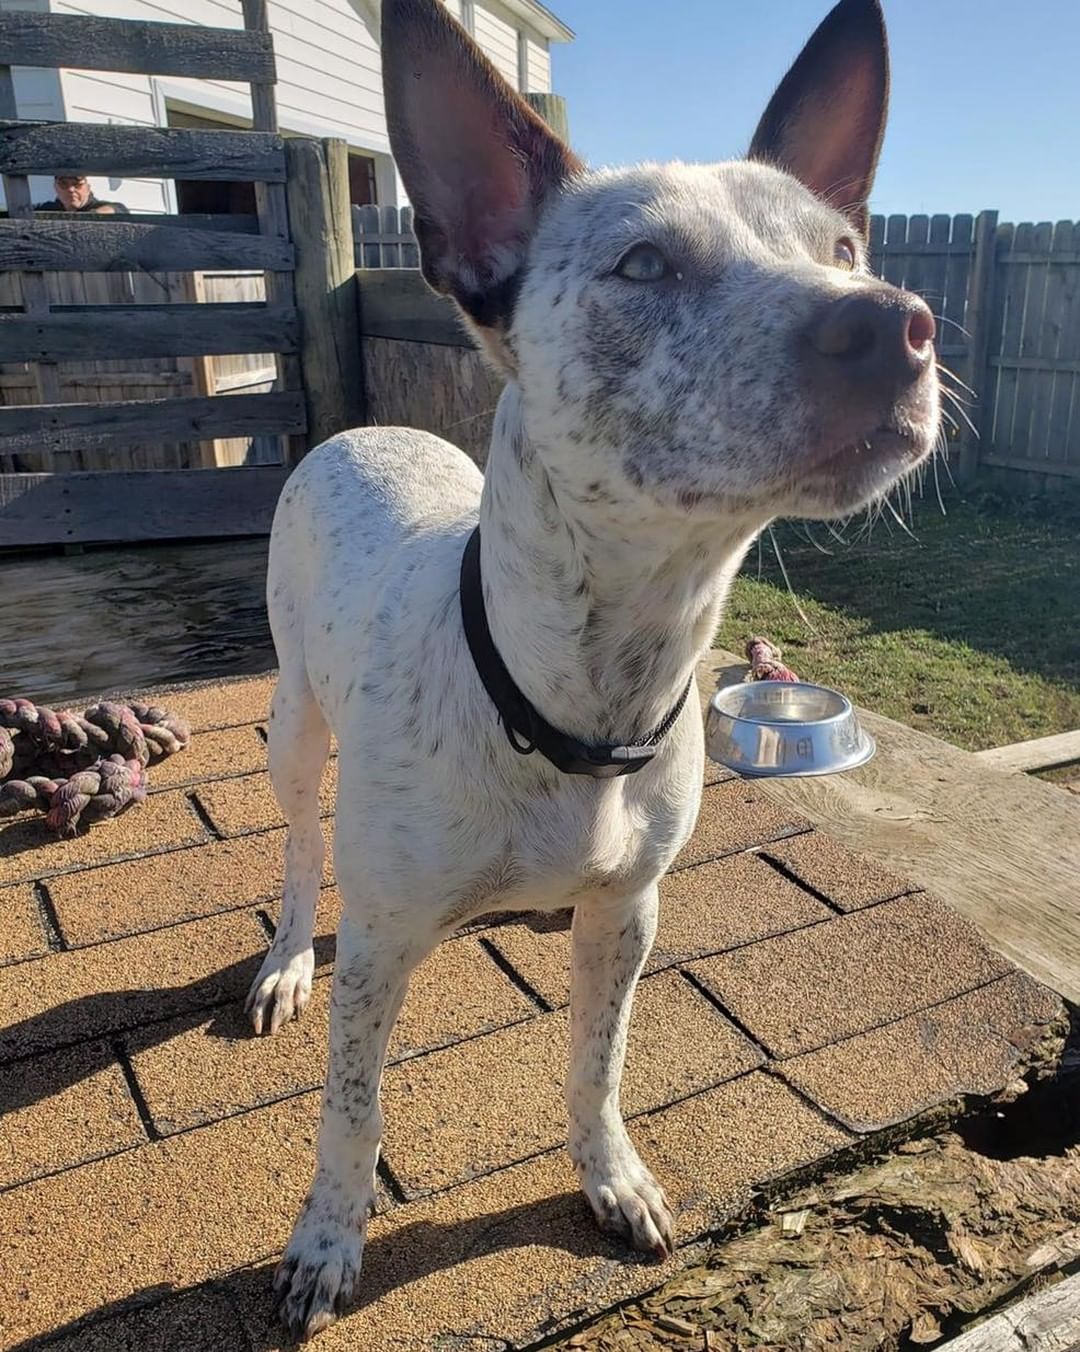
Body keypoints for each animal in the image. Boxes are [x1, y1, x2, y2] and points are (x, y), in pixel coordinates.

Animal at [251, 0, 935, 1330]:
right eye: (644, 265)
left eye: (843, 245)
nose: (892, 320)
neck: (576, 700)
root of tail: (366, 426)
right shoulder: (382, 946)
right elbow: (352, 1111)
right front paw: (326, 1237)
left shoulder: (629, 914)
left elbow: (597, 1061)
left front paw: (608, 1174)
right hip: (294, 725)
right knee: (303, 851)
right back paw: (283, 958)